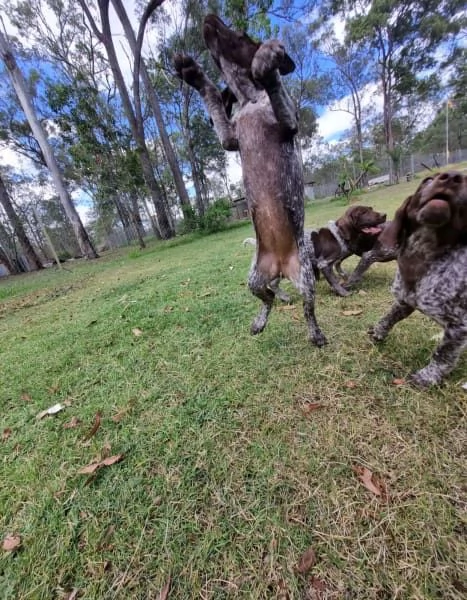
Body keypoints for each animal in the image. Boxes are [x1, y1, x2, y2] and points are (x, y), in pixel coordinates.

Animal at [174, 15, 328, 346]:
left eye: (242, 34)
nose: (209, 17)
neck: (250, 99)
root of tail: (281, 266)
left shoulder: (288, 122)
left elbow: (274, 81)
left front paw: (267, 60)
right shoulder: (229, 139)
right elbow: (211, 97)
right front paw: (193, 74)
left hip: (306, 280)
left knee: (308, 309)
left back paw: (315, 334)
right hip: (254, 279)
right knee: (267, 298)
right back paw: (259, 321)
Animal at [370, 171, 467, 386]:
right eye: (427, 180)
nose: (452, 176)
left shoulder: (460, 326)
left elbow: (443, 355)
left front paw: (427, 377)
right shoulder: (405, 301)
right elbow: (389, 317)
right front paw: (379, 332)